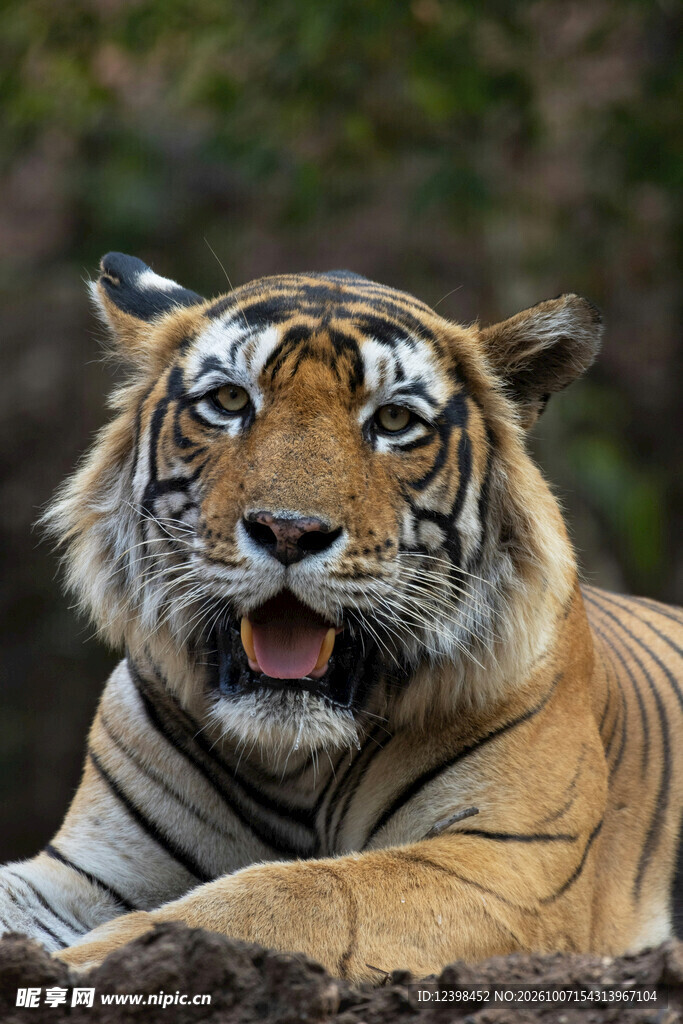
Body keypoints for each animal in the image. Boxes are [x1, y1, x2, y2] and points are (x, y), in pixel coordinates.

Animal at [0, 251, 681, 983]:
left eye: (393, 420)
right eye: (230, 402)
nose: (288, 530)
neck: (295, 762)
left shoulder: (510, 860)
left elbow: (296, 892)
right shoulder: (85, 868)